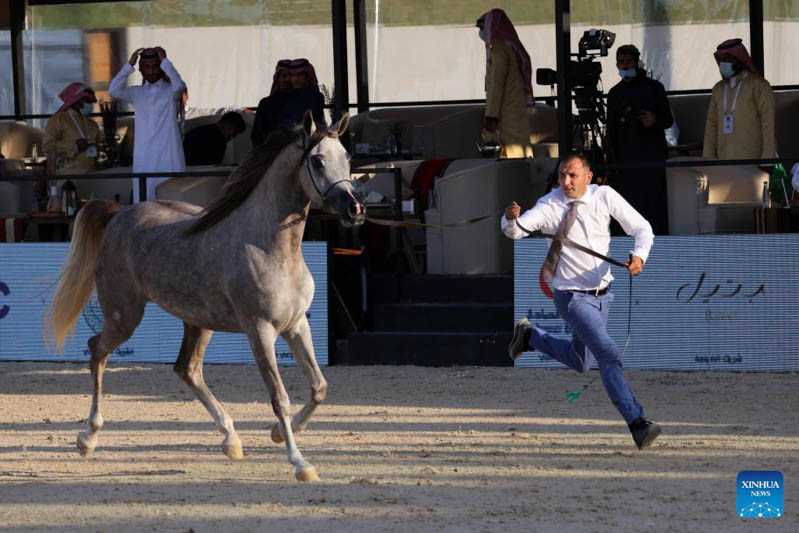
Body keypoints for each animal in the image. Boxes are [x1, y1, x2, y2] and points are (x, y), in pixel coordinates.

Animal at [45, 110, 364, 480]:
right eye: (317, 160)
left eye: (347, 157)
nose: (355, 209)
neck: (270, 246)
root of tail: (117, 214)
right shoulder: (260, 331)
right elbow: (279, 396)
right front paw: (300, 462)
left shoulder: (296, 325)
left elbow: (318, 387)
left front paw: (276, 433)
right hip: (124, 316)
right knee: (97, 351)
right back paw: (88, 437)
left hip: (197, 321)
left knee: (187, 369)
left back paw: (230, 439)